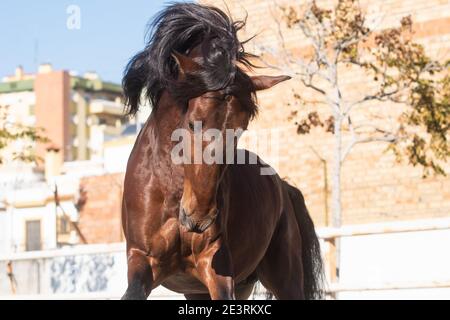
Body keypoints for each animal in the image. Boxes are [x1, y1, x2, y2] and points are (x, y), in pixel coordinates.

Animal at [119, 3, 324, 300]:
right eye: (192, 123)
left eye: (241, 129)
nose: (198, 218)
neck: (171, 188)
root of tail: (283, 187)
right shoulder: (142, 260)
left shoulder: (216, 266)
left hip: (285, 279)